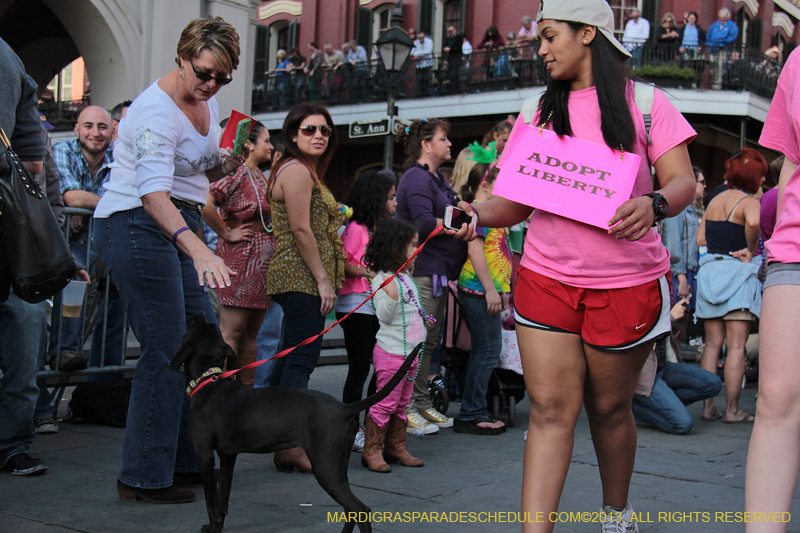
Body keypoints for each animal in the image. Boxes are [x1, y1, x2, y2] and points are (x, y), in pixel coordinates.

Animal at [171, 312, 422, 532]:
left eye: (193, 326)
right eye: (211, 327)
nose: (199, 313)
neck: (208, 382)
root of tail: (344, 408)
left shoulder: (204, 456)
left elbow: (211, 504)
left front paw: (213, 528)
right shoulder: (227, 456)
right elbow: (222, 501)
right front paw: (218, 526)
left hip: (325, 468)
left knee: (360, 510)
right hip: (337, 468)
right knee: (351, 510)